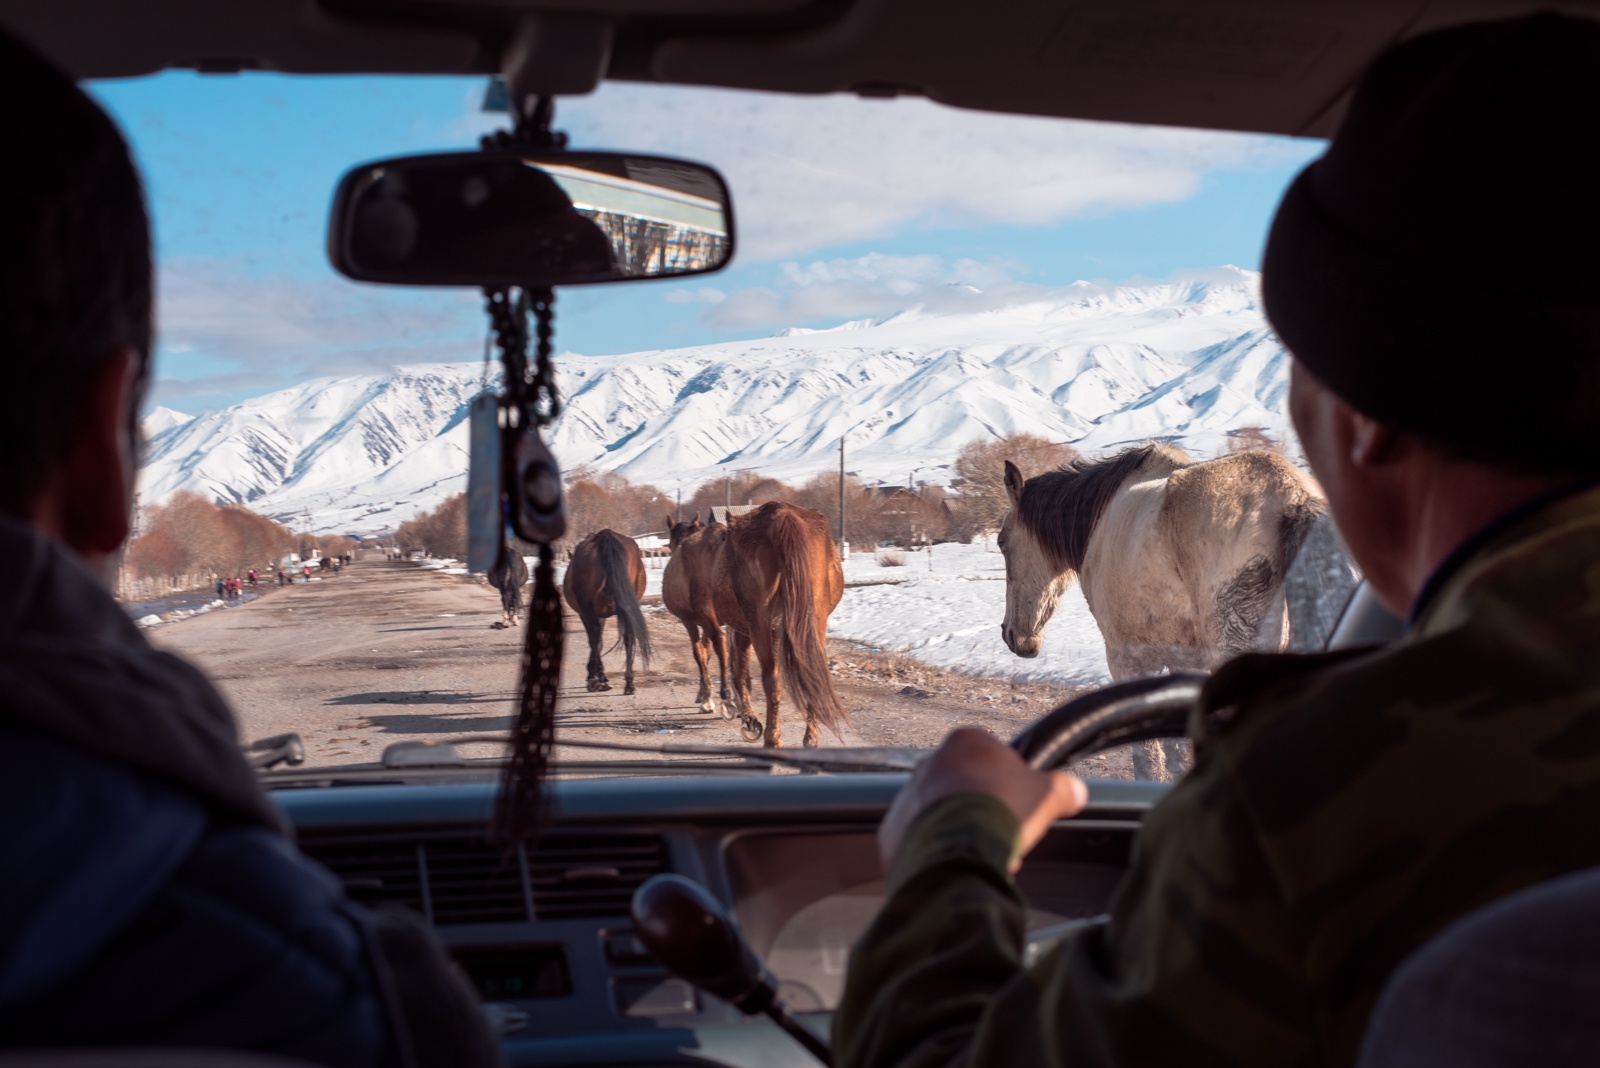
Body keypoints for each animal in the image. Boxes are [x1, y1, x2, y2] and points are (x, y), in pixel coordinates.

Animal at [563, 530, 649, 697]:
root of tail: (605, 536)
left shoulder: (586, 613)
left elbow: (595, 640)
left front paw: (598, 676)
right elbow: (600, 642)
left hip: (587, 606)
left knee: (595, 634)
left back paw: (593, 680)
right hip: (627, 606)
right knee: (628, 637)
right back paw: (629, 683)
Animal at [659, 514, 732, 716]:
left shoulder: (690, 621)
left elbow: (699, 652)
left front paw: (706, 698)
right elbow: (707, 651)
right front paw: (703, 693)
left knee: (720, 642)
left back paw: (727, 697)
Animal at [707, 505, 844, 748]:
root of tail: (782, 517)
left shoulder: (744, 631)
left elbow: (740, 671)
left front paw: (749, 721)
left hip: (758, 624)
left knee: (770, 678)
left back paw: (771, 738)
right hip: (814, 622)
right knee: (810, 675)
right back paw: (810, 738)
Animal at [998, 447, 1337, 780]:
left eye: (1002, 542)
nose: (1012, 635)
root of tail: (1292, 494)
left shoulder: (1127, 660)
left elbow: (1148, 762)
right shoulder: (1182, 662)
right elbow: (1176, 756)